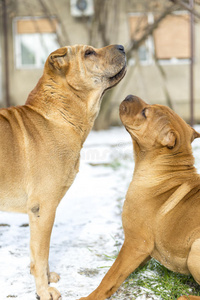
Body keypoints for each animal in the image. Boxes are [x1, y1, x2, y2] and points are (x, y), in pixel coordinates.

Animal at [0, 44, 126, 300]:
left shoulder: (38, 211)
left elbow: (38, 252)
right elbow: (41, 253)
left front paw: (48, 279)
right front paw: (44, 291)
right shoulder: (44, 208)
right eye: (89, 53)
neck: (59, 113)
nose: (121, 46)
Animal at [78, 94, 200, 300]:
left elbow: (110, 276)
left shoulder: (135, 243)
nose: (129, 96)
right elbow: (120, 272)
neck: (167, 169)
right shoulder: (142, 249)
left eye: (145, 112)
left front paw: (92, 296)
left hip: (195, 250)